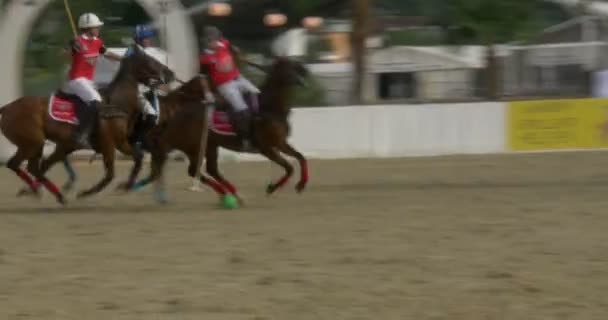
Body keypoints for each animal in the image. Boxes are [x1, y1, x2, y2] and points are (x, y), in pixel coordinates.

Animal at [2, 44, 173, 205]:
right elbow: (111, 174)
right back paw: (49, 193)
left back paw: (45, 192)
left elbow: (138, 158)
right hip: (32, 143)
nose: (170, 73)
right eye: (151, 60)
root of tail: (6, 108)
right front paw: (86, 193)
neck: (117, 103)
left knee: (36, 166)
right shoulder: (110, 145)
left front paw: (126, 185)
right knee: (20, 165)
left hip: (48, 145)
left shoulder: (123, 142)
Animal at [126, 55, 312, 206]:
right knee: (195, 170)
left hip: (209, 145)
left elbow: (300, 158)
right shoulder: (266, 148)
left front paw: (301, 184)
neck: (269, 108)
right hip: (194, 146)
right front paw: (271, 188)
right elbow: (289, 167)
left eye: (297, 64)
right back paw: (228, 194)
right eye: (291, 66)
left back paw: (234, 195)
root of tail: (175, 117)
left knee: (210, 170)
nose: (305, 75)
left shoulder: (280, 142)